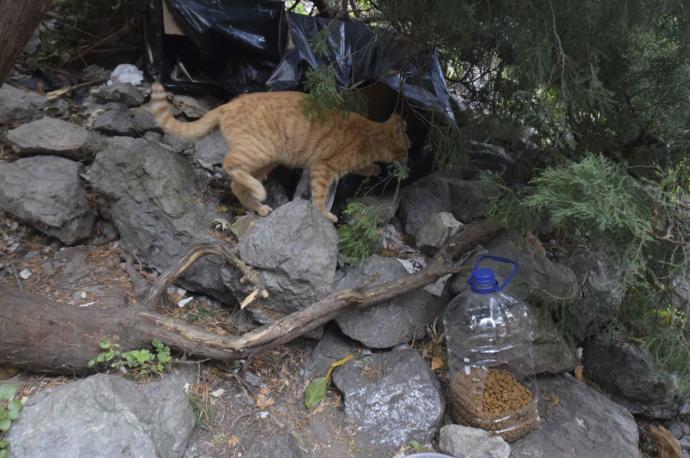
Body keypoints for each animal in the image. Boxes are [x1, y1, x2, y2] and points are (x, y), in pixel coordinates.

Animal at [149, 82, 408, 222]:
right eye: (409, 145)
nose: (409, 157)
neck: (370, 136)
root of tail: (229, 103)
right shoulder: (323, 167)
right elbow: (319, 195)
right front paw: (324, 214)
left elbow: (364, 167)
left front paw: (375, 169)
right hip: (261, 151)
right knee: (229, 164)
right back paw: (259, 191)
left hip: (268, 160)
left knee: (235, 184)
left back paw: (258, 206)